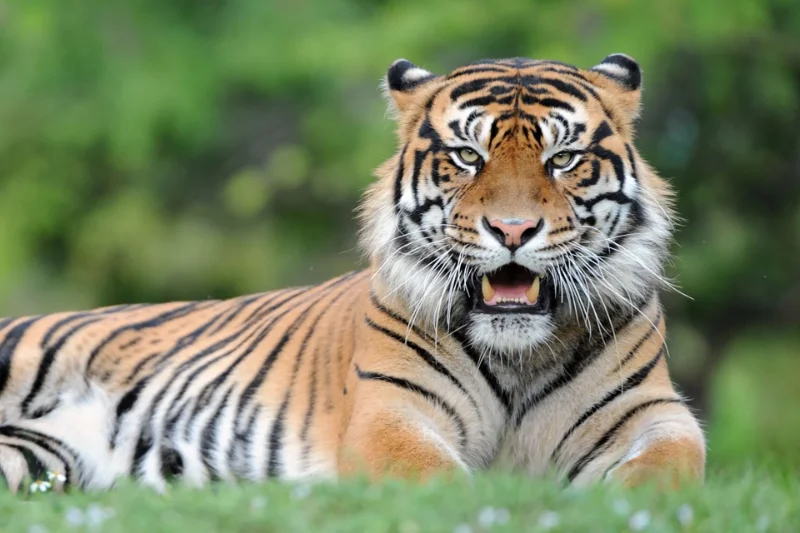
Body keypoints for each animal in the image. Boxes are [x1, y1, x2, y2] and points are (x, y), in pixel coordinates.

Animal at [0, 53, 704, 490]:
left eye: (563, 159)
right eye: (467, 156)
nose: (511, 230)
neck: (518, 357)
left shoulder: (651, 411)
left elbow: (672, 465)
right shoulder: (389, 414)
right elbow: (438, 479)